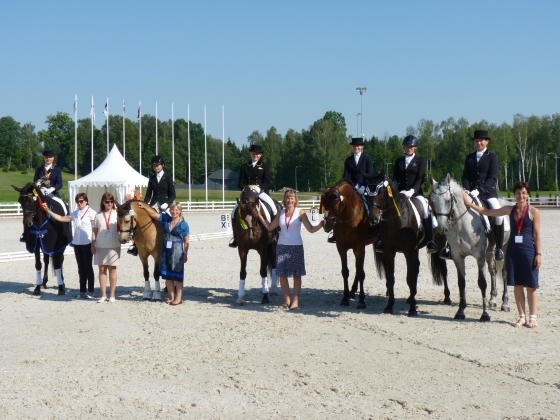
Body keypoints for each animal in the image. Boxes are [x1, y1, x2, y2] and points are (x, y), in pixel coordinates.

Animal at [320, 178, 380, 308]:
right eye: (325, 206)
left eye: (335, 207)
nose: (326, 227)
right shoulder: (341, 247)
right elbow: (345, 271)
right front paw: (345, 298)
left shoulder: (359, 247)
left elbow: (361, 272)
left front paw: (362, 301)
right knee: (357, 268)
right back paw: (352, 291)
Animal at [370, 173, 452, 316]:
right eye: (368, 190)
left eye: (380, 191)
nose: (373, 218)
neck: (396, 220)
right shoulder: (389, 251)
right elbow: (391, 278)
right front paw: (389, 306)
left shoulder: (408, 251)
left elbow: (409, 278)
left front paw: (413, 309)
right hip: (416, 249)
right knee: (417, 267)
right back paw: (411, 296)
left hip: (439, 245)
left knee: (443, 268)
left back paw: (447, 297)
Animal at [428, 175, 512, 322]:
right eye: (432, 202)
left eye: (448, 201)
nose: (442, 228)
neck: (462, 222)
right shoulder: (458, 256)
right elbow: (461, 283)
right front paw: (460, 311)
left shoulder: (479, 255)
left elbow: (482, 282)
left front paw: (484, 314)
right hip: (490, 252)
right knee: (493, 271)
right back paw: (492, 300)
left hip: (504, 248)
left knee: (504, 273)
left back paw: (505, 303)